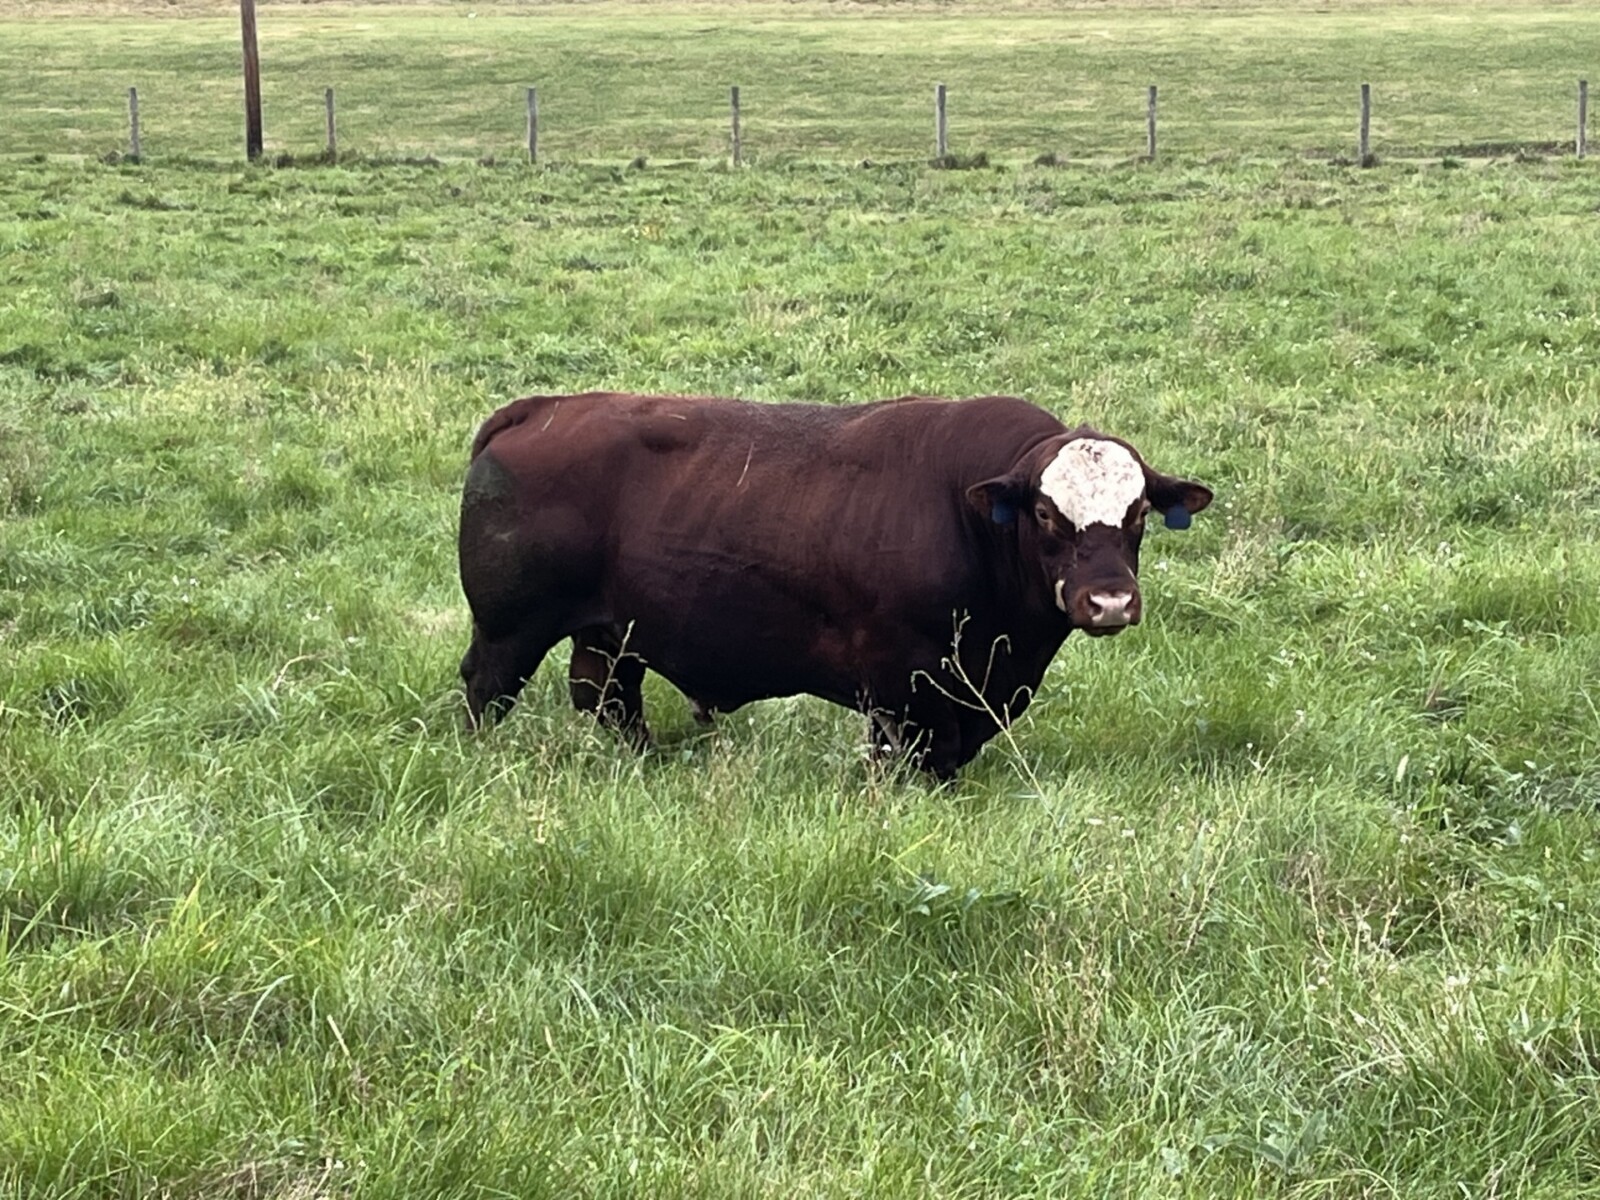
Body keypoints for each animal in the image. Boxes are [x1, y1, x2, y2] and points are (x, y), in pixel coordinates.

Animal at [458, 392, 1212, 779]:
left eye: (1139, 512)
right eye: (1049, 513)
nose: (1109, 600)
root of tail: (545, 407)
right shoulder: (905, 686)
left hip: (610, 637)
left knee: (608, 700)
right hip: (508, 634)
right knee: (485, 693)